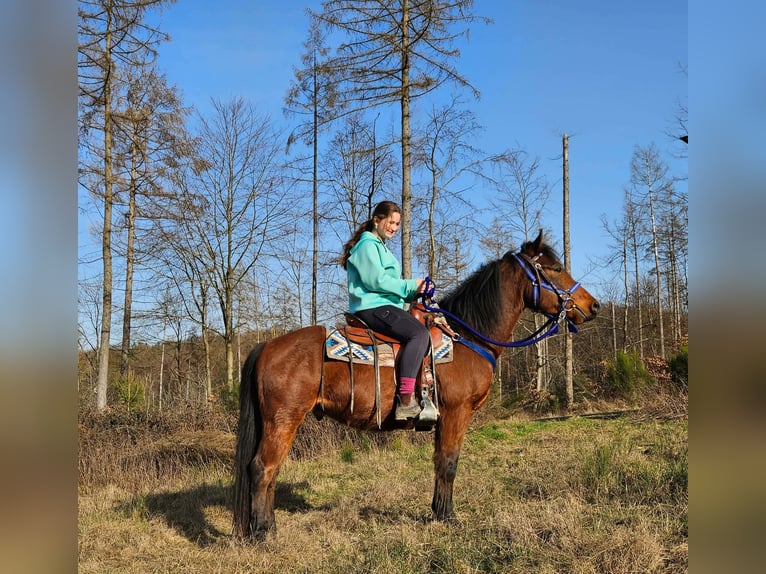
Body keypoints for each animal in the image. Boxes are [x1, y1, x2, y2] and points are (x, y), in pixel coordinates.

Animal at [232, 230, 600, 540]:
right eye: (555, 268)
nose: (592, 305)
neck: (467, 337)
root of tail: (267, 345)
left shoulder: (442, 417)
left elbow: (440, 462)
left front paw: (438, 511)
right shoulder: (456, 412)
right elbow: (449, 464)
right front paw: (449, 517)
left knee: (270, 472)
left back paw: (267, 526)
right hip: (283, 420)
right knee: (262, 469)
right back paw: (262, 533)